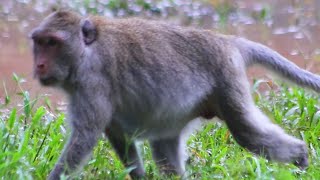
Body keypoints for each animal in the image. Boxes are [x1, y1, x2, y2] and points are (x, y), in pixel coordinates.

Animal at [29, 10, 312, 179]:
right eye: (39, 42)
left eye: (52, 43)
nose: (39, 65)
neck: (85, 53)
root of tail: (228, 42)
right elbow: (119, 136)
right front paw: (139, 176)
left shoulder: (92, 83)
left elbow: (85, 137)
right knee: (165, 144)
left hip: (227, 81)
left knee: (247, 132)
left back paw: (301, 156)